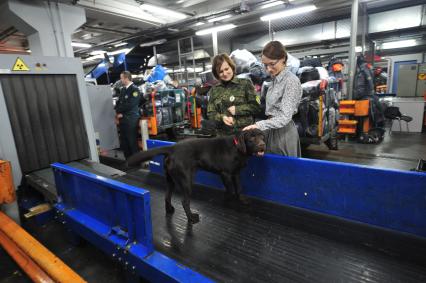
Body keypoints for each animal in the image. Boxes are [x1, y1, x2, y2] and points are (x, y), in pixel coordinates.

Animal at [127, 130, 266, 225]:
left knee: (167, 196)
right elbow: (230, 190)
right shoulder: (225, 174)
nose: (262, 145)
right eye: (252, 137)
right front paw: (228, 201)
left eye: (262, 136)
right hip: (186, 181)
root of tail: (172, 148)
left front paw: (242, 200)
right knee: (185, 202)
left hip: (171, 180)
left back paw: (170, 210)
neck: (237, 147)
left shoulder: (236, 173)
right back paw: (191, 218)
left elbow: (239, 189)